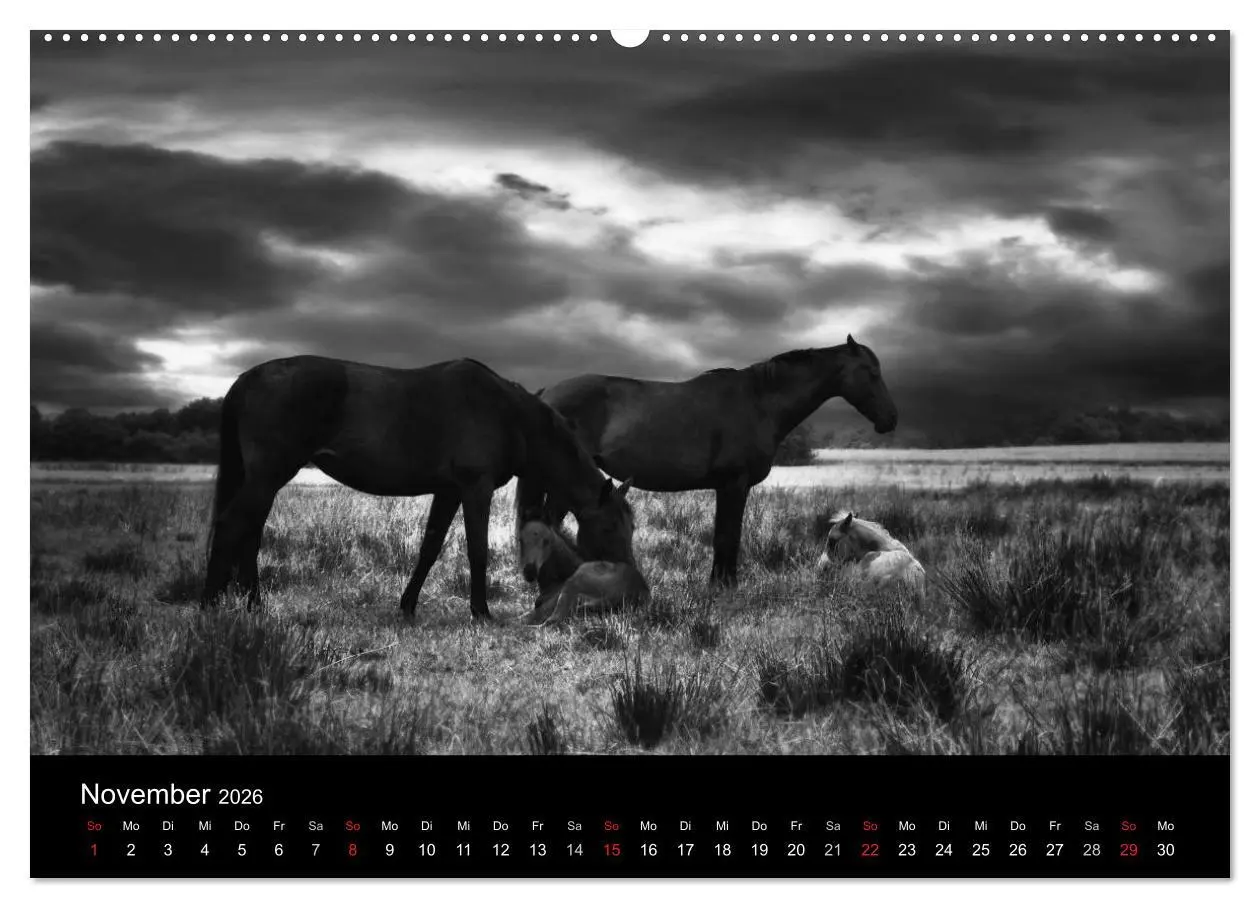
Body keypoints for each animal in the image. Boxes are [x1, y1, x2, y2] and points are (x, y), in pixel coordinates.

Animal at [201, 355, 637, 621]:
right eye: (610, 526)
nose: (629, 579)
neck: (507, 413)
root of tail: (246, 379)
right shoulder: (475, 489)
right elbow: (477, 550)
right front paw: (481, 611)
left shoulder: (448, 491)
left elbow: (429, 547)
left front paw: (408, 606)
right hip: (268, 475)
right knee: (232, 526)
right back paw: (209, 605)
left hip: (264, 480)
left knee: (250, 532)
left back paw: (254, 605)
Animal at [518, 335, 898, 587]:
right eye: (870, 372)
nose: (890, 420)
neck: (759, 402)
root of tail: (546, 392)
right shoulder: (733, 485)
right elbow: (727, 537)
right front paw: (723, 586)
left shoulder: (728, 488)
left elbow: (726, 535)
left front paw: (720, 582)